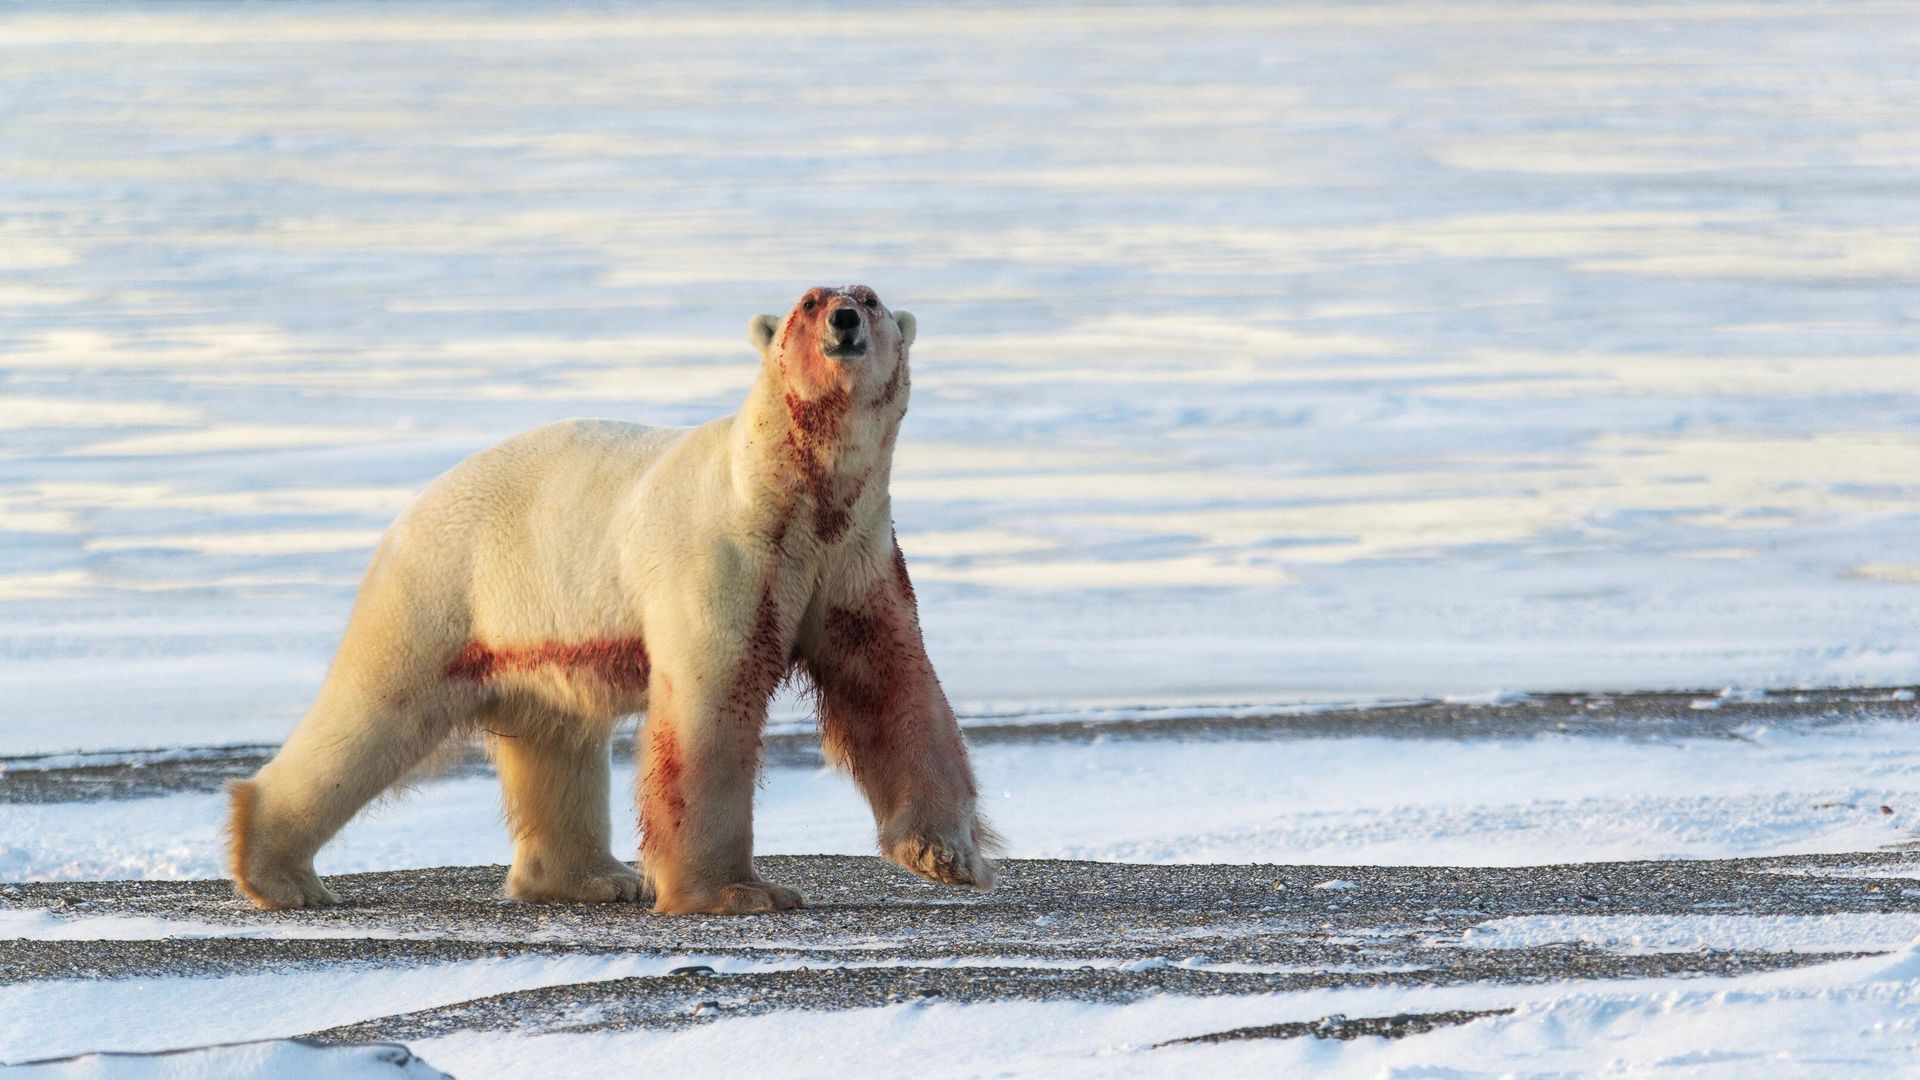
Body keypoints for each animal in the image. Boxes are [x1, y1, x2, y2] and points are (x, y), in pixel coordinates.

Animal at [227, 285, 998, 914]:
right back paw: (279, 873)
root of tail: (410, 511)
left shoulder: (853, 556)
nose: (843, 321)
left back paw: (595, 877)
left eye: (868, 297)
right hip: (444, 591)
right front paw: (739, 891)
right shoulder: (728, 554)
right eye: (809, 302)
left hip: (539, 634)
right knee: (374, 712)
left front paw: (948, 855)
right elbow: (711, 705)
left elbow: (891, 682)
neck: (793, 493)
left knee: (557, 742)